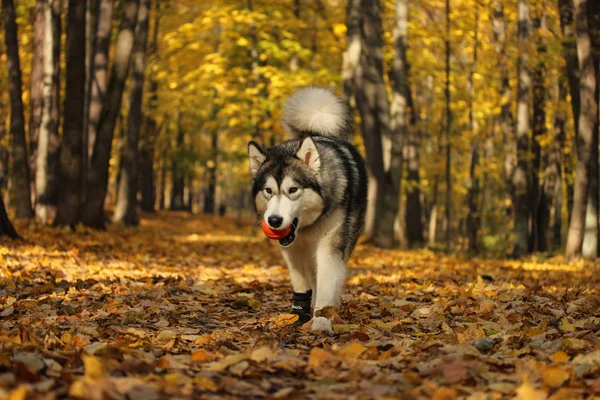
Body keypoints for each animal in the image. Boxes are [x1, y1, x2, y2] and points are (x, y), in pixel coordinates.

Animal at [246, 87, 368, 334]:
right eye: (268, 191)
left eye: (293, 189)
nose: (274, 221)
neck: (308, 225)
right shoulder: (292, 249)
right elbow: (302, 283)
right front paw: (299, 315)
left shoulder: (330, 245)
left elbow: (327, 282)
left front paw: (321, 320)